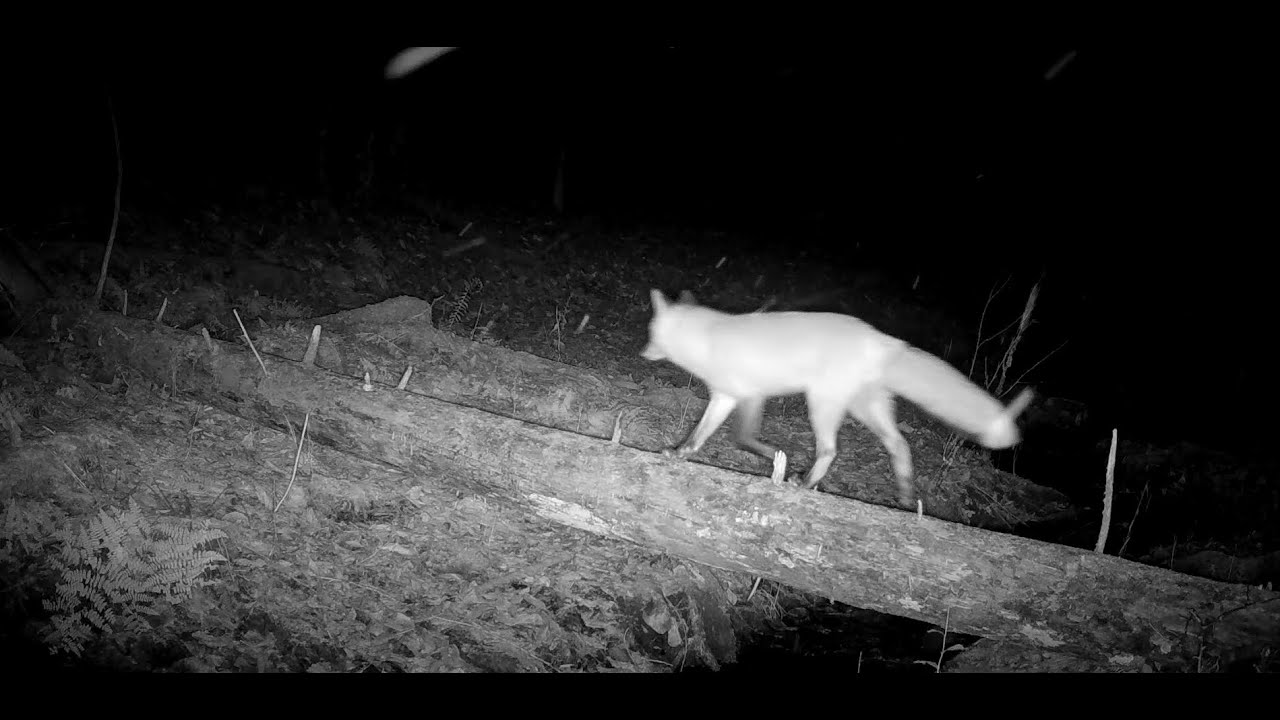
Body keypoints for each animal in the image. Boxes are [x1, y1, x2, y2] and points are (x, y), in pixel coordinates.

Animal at [641, 289, 1033, 507]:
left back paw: (805, 482)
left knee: (830, 450)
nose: (643, 353)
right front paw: (679, 452)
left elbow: (743, 438)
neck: (707, 339)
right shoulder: (725, 397)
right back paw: (906, 495)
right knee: (900, 444)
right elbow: (700, 435)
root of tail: (880, 338)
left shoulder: (750, 395)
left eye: (651, 333)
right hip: (866, 409)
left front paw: (778, 460)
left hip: (822, 405)